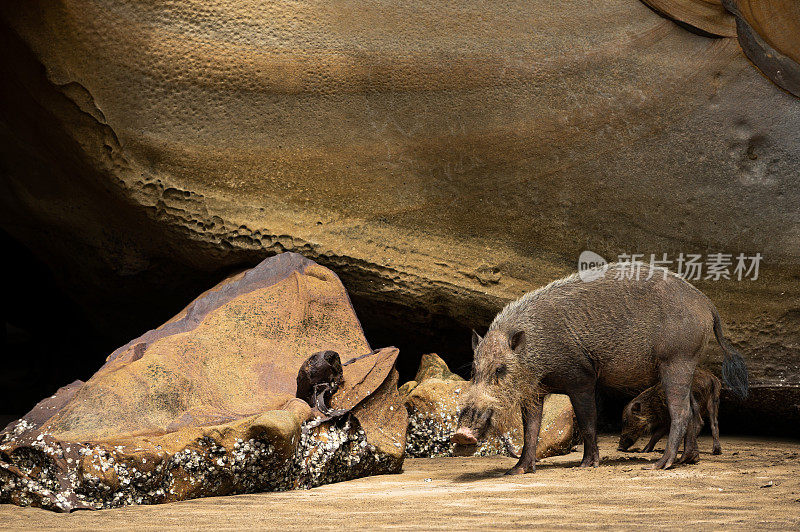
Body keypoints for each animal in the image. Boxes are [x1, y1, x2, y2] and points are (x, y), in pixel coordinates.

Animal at [454, 262, 748, 474]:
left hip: (677, 359)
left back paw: (658, 465)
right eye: (474, 371)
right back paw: (688, 459)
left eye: (500, 369)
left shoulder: (581, 377)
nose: (462, 434)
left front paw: (586, 465)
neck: (535, 352)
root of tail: (707, 304)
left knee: (682, 412)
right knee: (694, 411)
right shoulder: (534, 391)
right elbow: (531, 430)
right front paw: (515, 471)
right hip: (687, 363)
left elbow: (587, 421)